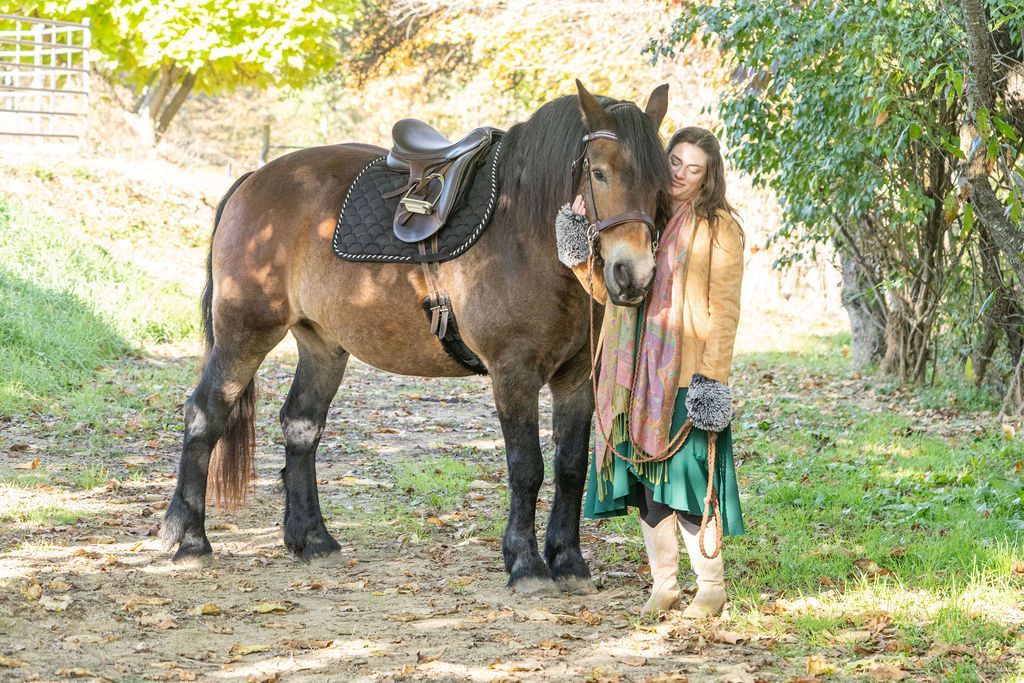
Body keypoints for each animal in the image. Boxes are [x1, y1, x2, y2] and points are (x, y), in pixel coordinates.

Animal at [159, 78, 671, 593]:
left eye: (661, 179)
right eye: (600, 173)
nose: (633, 275)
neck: (525, 230)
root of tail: (254, 180)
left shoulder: (576, 377)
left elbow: (569, 468)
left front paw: (568, 560)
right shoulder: (513, 373)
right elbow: (527, 468)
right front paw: (526, 564)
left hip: (322, 346)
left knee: (301, 425)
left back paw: (313, 539)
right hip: (244, 334)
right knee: (205, 415)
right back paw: (190, 540)